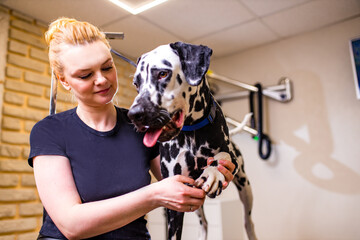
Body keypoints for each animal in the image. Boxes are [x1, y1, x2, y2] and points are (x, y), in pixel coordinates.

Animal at [128, 41, 258, 240]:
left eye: (162, 73)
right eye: (137, 83)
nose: (134, 114)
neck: (191, 133)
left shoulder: (232, 160)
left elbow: (223, 156)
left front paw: (213, 173)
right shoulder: (176, 200)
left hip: (245, 188)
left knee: (248, 222)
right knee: (204, 223)